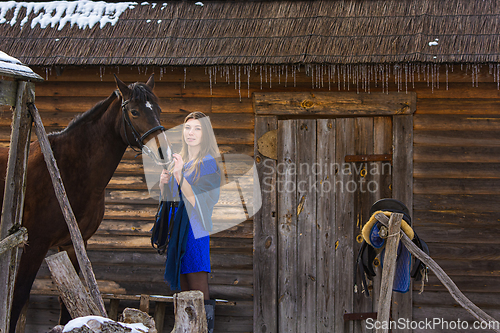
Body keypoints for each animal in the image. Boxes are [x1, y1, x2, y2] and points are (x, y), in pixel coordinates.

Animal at [1, 74, 171, 330]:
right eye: (134, 111)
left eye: (159, 109)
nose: (164, 153)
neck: (66, 168)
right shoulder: (36, 244)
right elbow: (18, 296)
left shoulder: (72, 245)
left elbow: (66, 302)